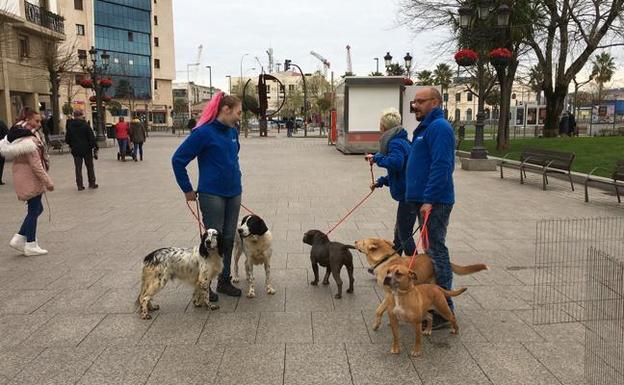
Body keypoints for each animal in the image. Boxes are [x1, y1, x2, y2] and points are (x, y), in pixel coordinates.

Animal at [356, 237, 488, 330]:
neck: (385, 259)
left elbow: (379, 310)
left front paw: (377, 324)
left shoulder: (389, 294)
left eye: (363, 242)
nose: (355, 241)